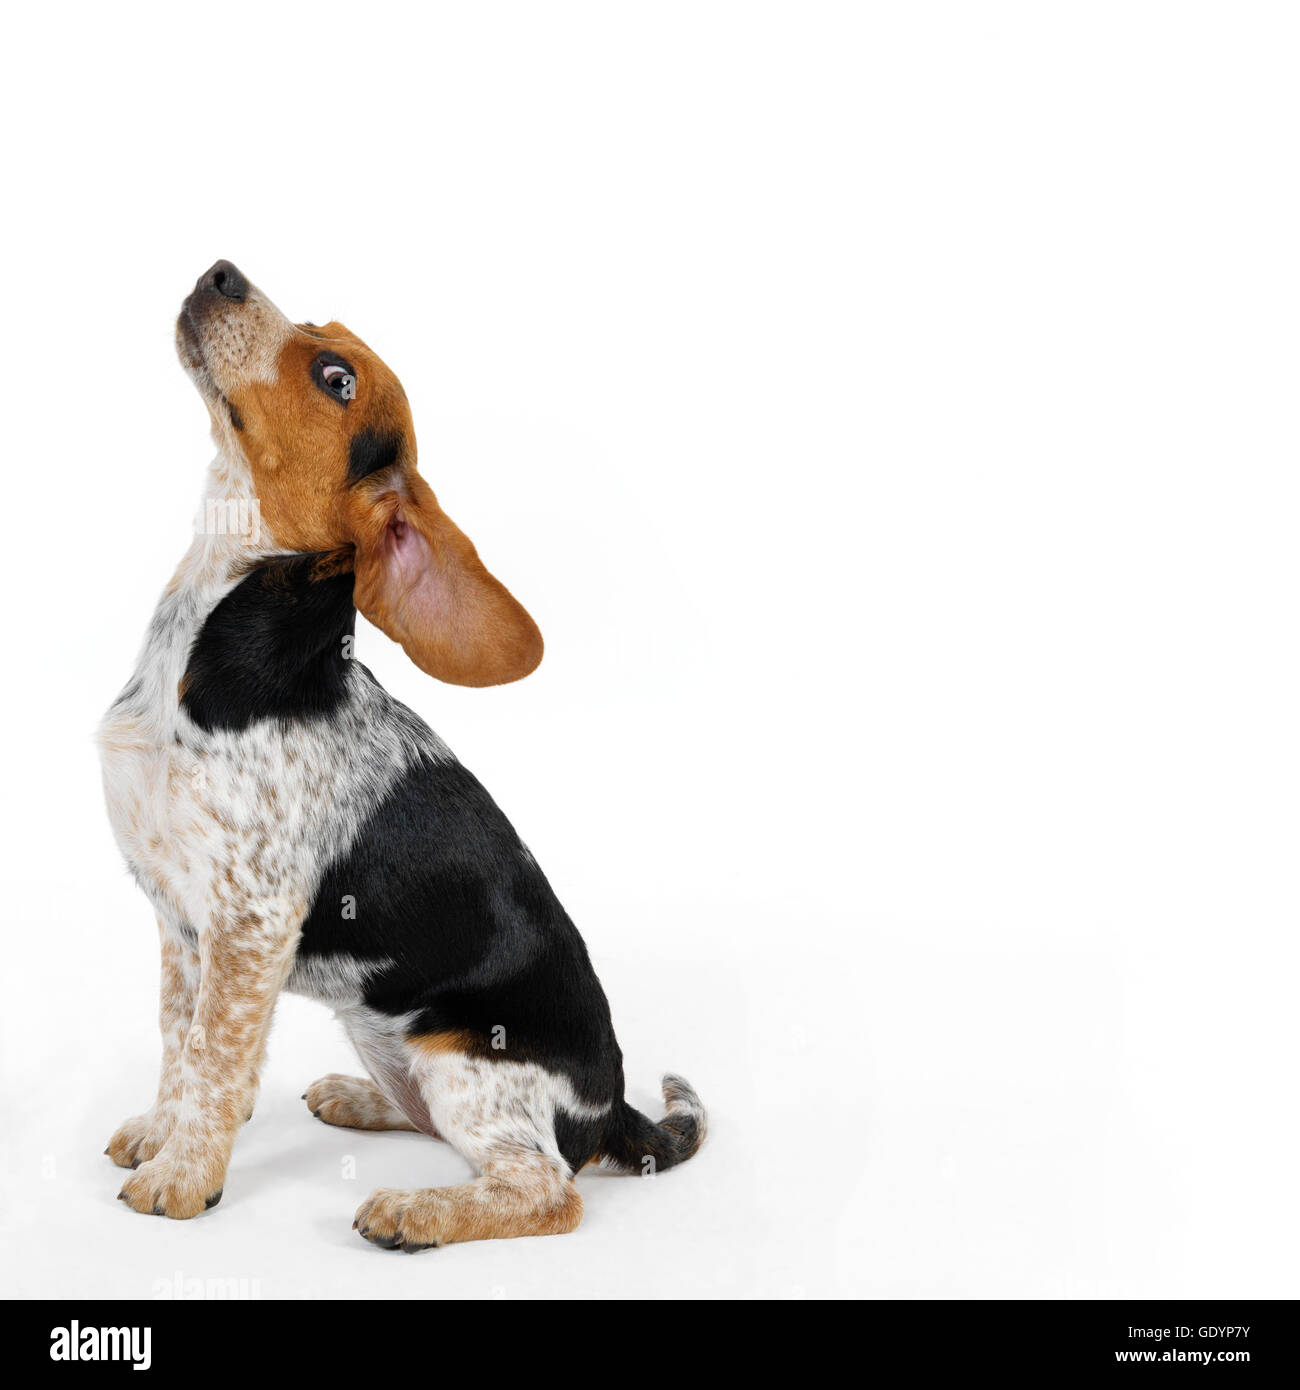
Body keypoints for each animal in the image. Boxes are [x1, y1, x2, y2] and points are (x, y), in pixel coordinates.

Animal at [96, 261, 706, 1251]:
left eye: (337, 377)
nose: (223, 272)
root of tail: (614, 1110)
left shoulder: (248, 925)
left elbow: (216, 1061)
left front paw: (184, 1176)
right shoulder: (181, 922)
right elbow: (179, 1046)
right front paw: (163, 1133)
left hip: (462, 1058)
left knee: (547, 1188)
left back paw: (414, 1210)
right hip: (398, 1041)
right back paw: (358, 1098)